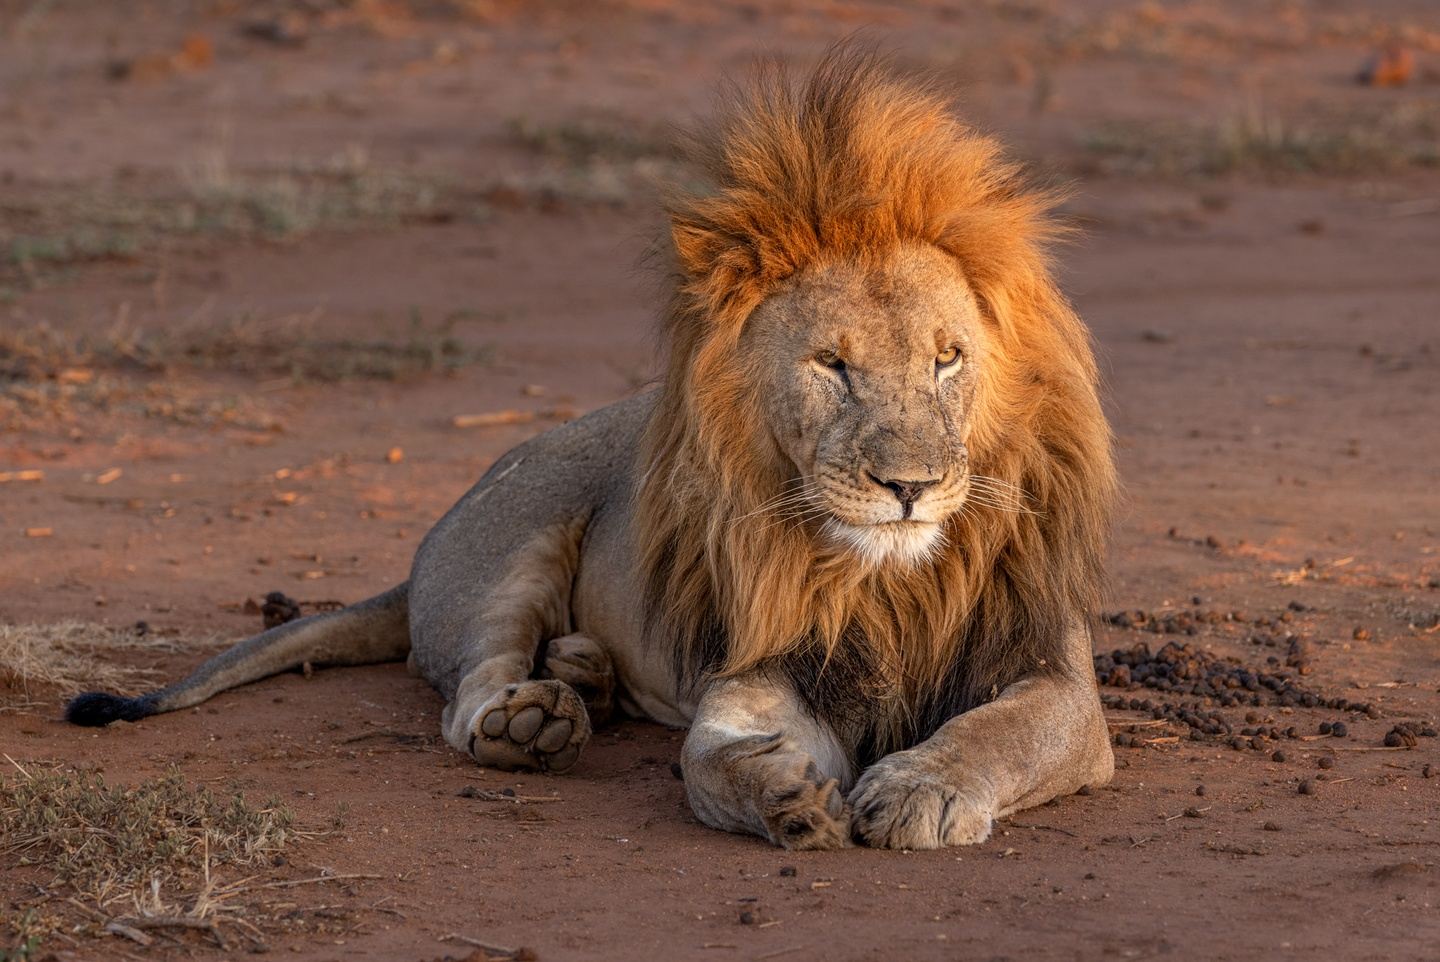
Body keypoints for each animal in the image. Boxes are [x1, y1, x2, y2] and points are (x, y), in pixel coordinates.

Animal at [67, 48, 1117, 852]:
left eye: (948, 359)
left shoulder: (1056, 679)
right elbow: (706, 758)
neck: (891, 579)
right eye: (832, 365)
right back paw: (533, 719)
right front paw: (778, 792)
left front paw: (919, 790)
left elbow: (999, 733)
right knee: (469, 687)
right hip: (512, 542)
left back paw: (584, 675)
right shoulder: (760, 668)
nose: (910, 487)